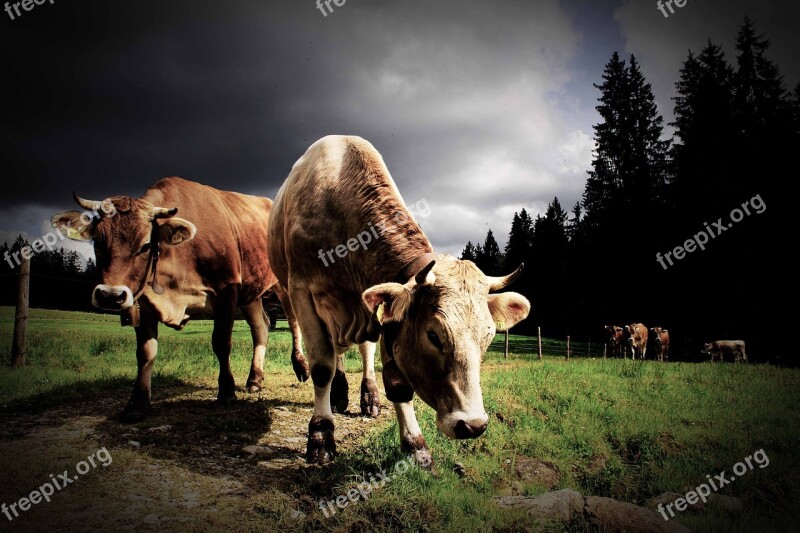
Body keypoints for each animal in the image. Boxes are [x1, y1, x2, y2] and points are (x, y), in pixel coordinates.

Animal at [49, 178, 318, 420]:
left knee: (293, 320)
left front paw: (227, 392)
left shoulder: (226, 290)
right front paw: (137, 403)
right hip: (251, 291)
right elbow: (145, 352)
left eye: (145, 245)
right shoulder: (145, 301)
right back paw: (255, 379)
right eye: (98, 241)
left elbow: (221, 342)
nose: (110, 295)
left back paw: (300, 366)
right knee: (261, 327)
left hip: (283, 283)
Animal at [268, 135, 532, 464]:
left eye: (489, 336)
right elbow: (322, 367)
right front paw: (321, 435)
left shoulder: (381, 313)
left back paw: (365, 396)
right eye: (433, 335)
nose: (473, 425)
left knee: (362, 350)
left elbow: (396, 383)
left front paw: (415, 444)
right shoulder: (302, 290)